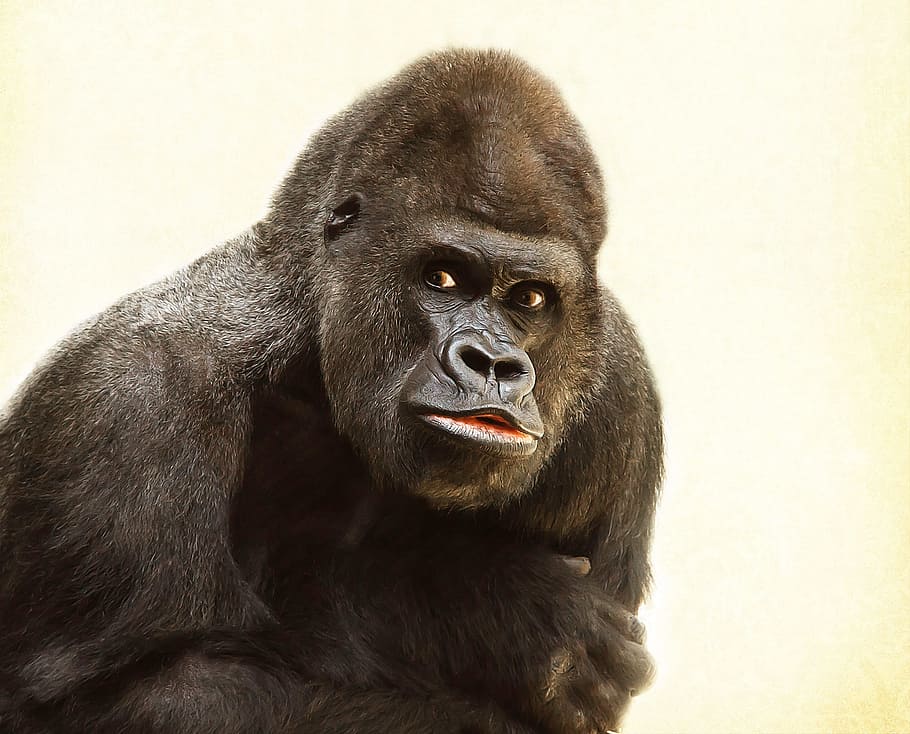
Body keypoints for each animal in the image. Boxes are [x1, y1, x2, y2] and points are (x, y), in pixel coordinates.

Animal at [0, 49, 662, 733]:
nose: (493, 363)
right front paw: (486, 609)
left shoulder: (620, 396)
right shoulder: (128, 400)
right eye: (442, 278)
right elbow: (122, 696)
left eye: (529, 298)